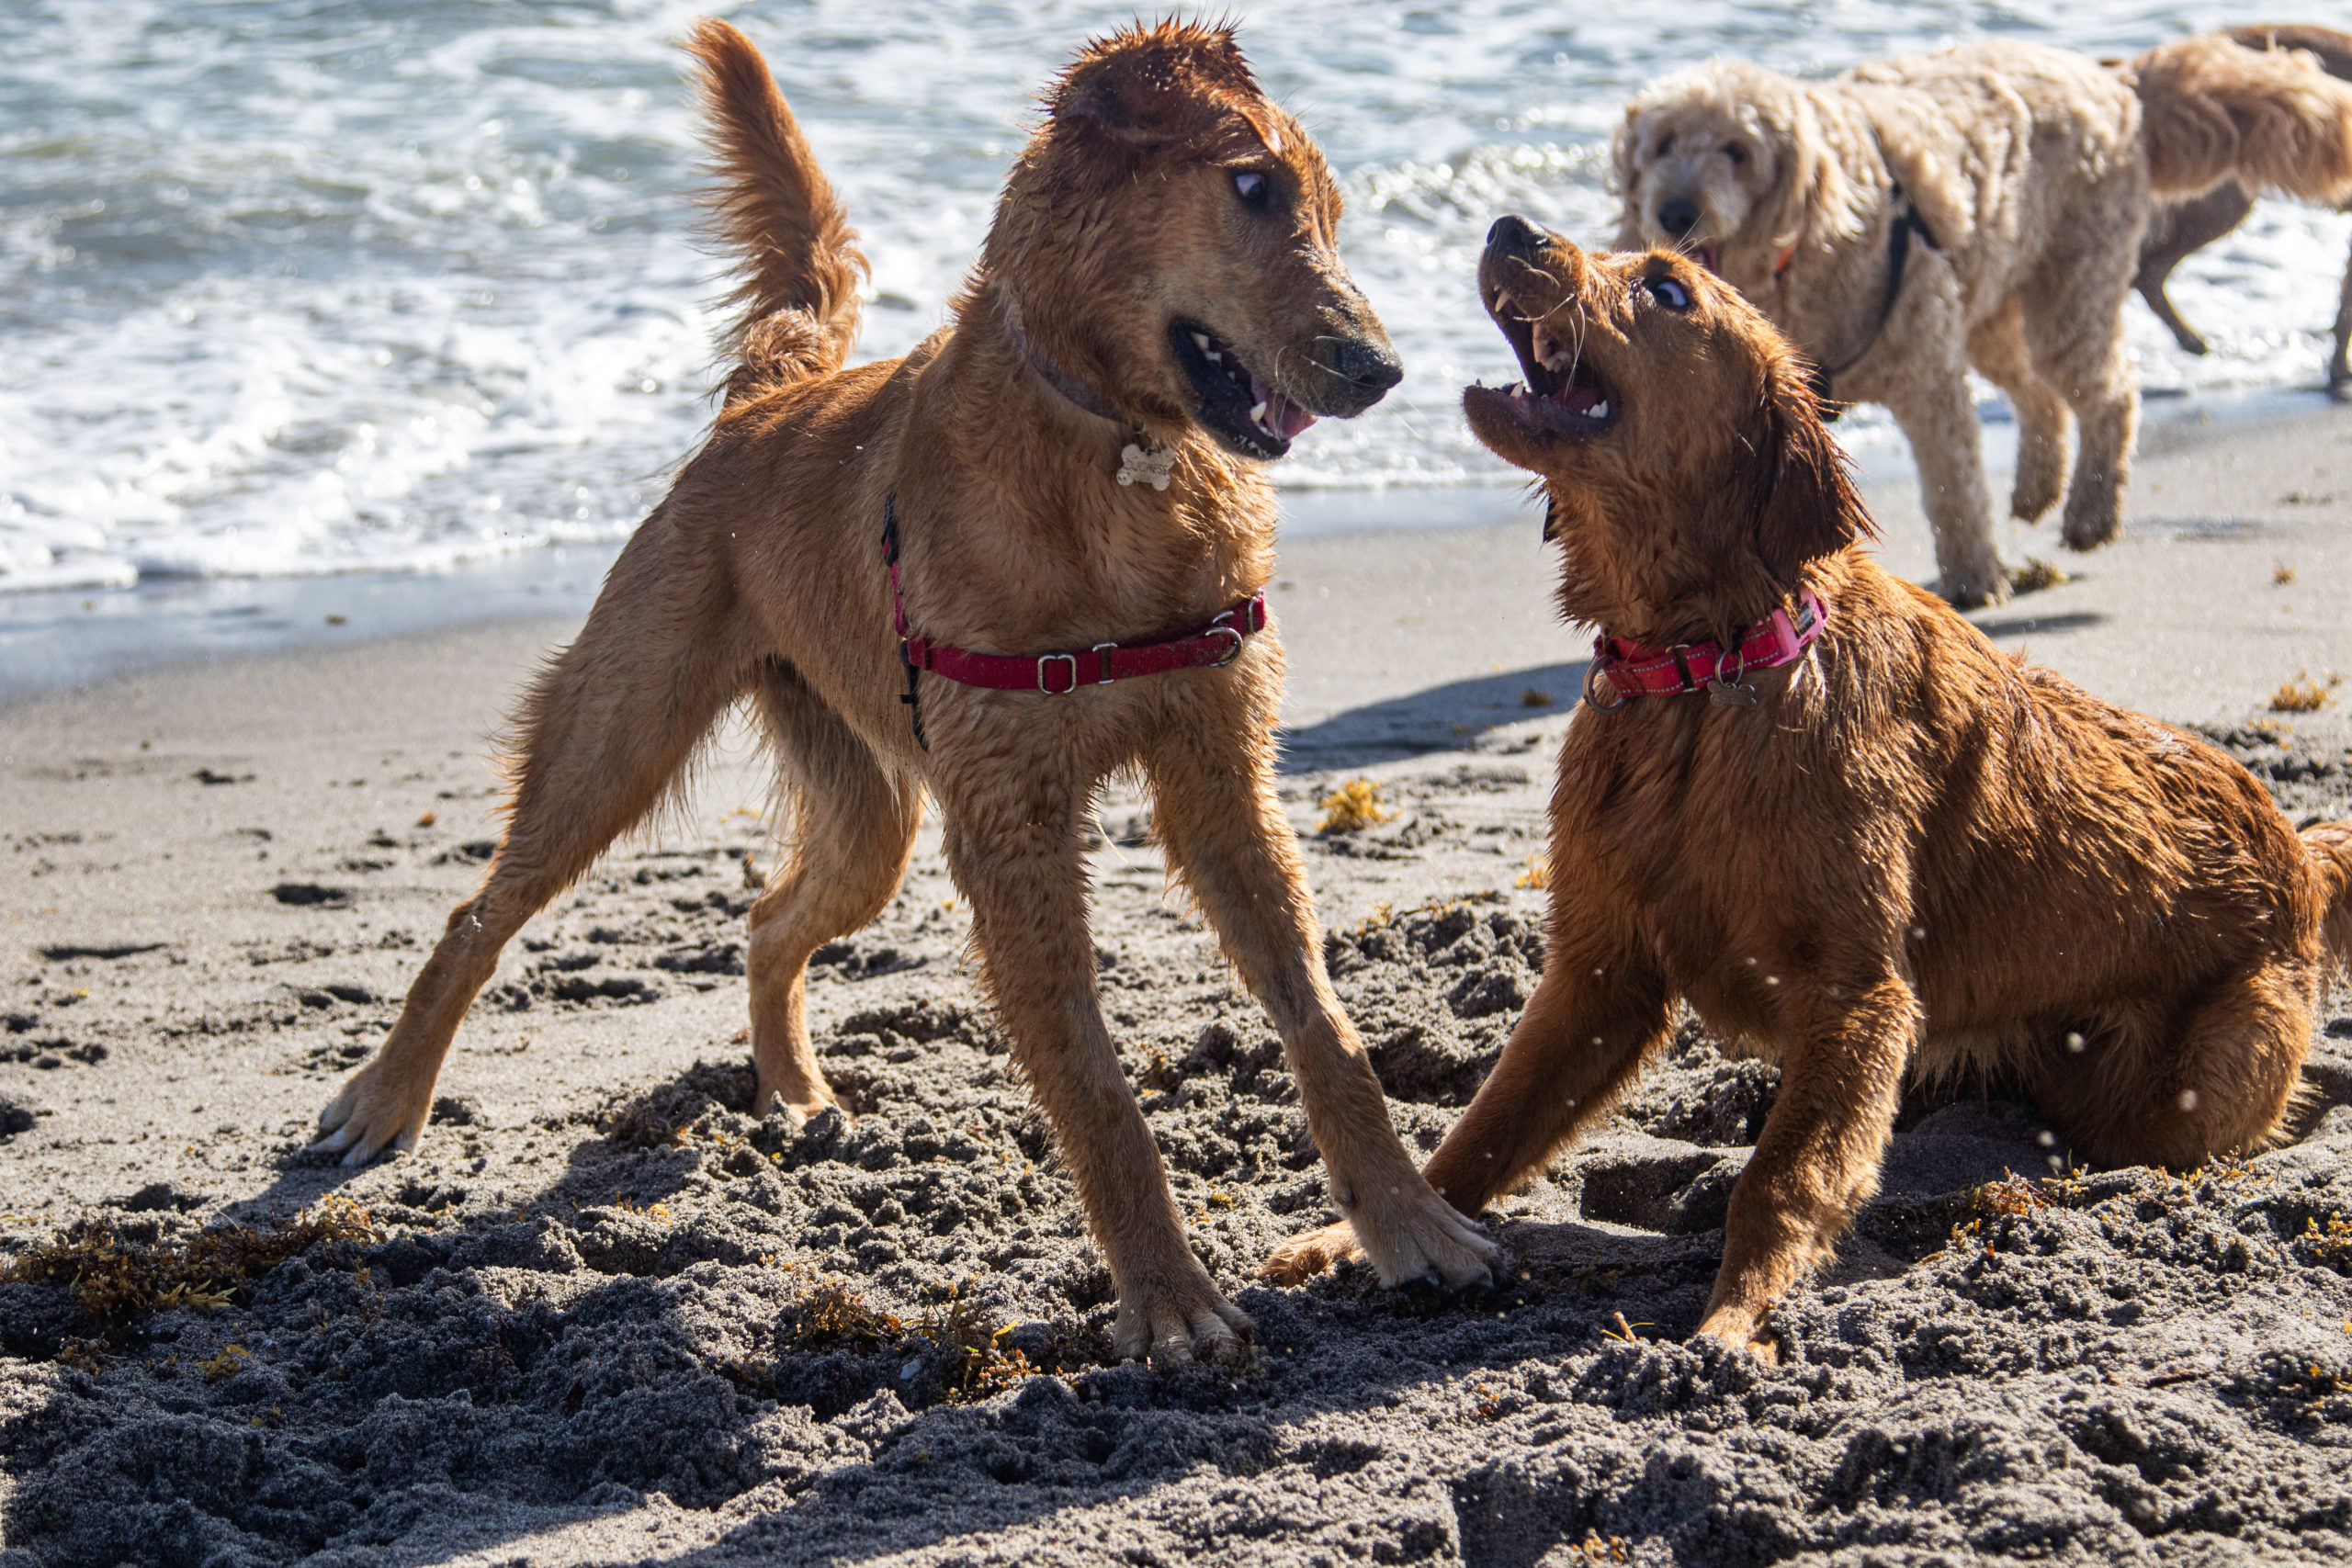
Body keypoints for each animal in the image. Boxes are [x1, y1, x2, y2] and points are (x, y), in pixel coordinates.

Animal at [312, 17, 1496, 1363]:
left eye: (1335, 212)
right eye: (1252, 188)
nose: (1383, 368)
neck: (1117, 459)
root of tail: (764, 399)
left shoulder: (1221, 779)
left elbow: (1324, 1025)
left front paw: (1407, 1223)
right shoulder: (1012, 828)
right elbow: (1093, 1082)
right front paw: (1166, 1296)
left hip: (871, 816)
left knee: (768, 919)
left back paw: (791, 1088)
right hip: (619, 733)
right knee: (480, 913)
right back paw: (386, 1097)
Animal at [1270, 223, 2352, 1363]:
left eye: (1667, 289)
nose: (1509, 229)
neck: (1704, 669)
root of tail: (2300, 850)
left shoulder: (1854, 990)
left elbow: (1782, 1176)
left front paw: (1730, 1323)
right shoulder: (1598, 975)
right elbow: (1483, 1129)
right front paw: (1374, 1240)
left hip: (2183, 1087)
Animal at [1627, 38, 2352, 602]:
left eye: (1737, 150)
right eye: (1661, 145)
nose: (1675, 209)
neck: (1802, 242)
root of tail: (2116, 82)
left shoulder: (1928, 379)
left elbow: (1953, 483)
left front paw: (1973, 577)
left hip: (2071, 292)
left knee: (2108, 393)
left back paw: (2090, 510)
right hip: (1992, 308)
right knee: (2038, 395)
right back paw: (2037, 489)